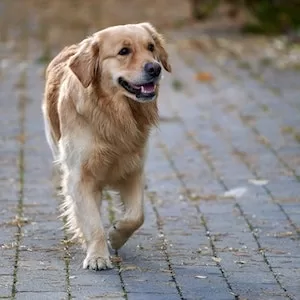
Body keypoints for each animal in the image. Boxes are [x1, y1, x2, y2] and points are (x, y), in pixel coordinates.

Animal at [41, 22, 171, 270]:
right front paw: (97, 256)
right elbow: (93, 224)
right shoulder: (79, 177)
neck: (113, 114)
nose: (155, 68)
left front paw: (117, 234)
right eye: (124, 51)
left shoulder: (133, 169)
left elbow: (137, 215)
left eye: (150, 47)